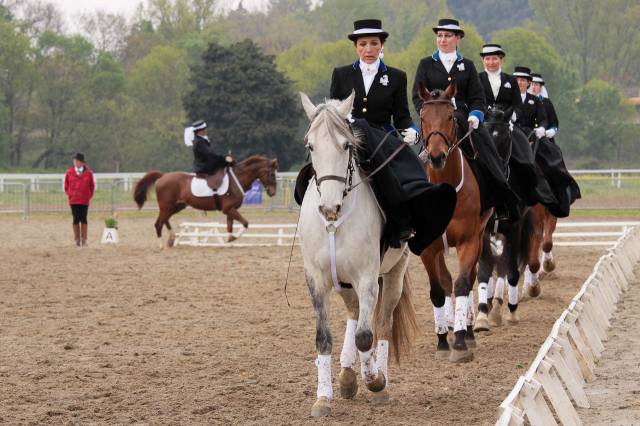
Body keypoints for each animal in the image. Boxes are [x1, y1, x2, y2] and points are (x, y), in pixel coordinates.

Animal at [135, 155, 278, 248]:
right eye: (271, 174)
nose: (273, 192)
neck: (237, 178)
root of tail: (163, 176)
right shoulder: (228, 209)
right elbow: (245, 223)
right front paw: (233, 238)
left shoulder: (230, 210)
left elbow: (230, 226)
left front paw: (229, 239)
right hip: (167, 206)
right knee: (158, 223)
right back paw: (161, 245)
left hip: (177, 206)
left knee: (165, 220)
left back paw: (171, 239)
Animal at [298, 92, 418, 416]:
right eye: (310, 146)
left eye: (346, 145)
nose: (329, 207)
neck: (334, 223)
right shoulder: (318, 280)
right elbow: (323, 338)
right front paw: (323, 398)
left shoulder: (367, 278)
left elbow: (366, 337)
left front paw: (375, 382)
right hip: (344, 280)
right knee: (354, 314)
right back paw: (348, 376)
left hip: (393, 274)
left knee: (383, 323)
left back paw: (379, 379)